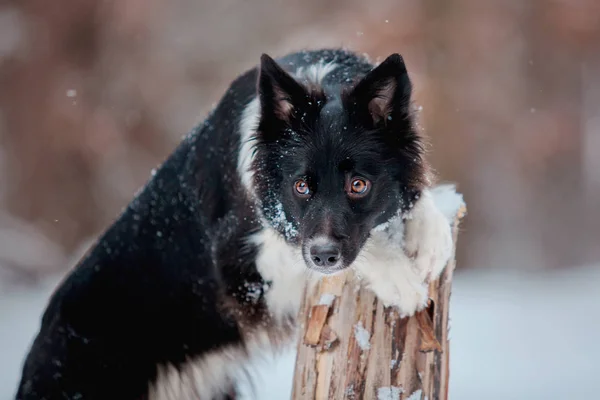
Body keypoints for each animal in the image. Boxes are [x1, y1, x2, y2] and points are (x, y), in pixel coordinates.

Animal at [14, 50, 452, 400]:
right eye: (301, 186)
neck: (321, 79)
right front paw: (398, 276)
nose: (324, 258)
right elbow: (307, 241)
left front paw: (433, 237)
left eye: (358, 185)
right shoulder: (240, 267)